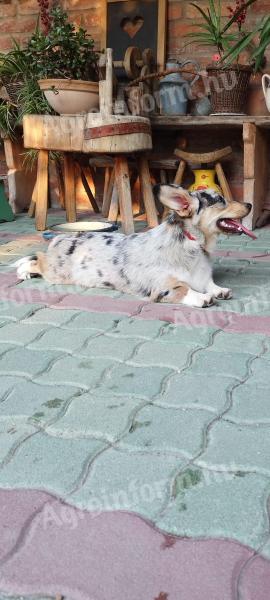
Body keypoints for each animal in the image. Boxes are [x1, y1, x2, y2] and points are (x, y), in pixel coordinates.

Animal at [15, 186, 254, 310]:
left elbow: (210, 285)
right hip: (56, 272)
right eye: (220, 200)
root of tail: (60, 238)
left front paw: (219, 290)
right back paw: (24, 272)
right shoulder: (162, 287)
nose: (250, 204)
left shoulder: (202, 278)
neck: (193, 244)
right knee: (36, 259)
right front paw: (201, 297)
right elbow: (184, 289)